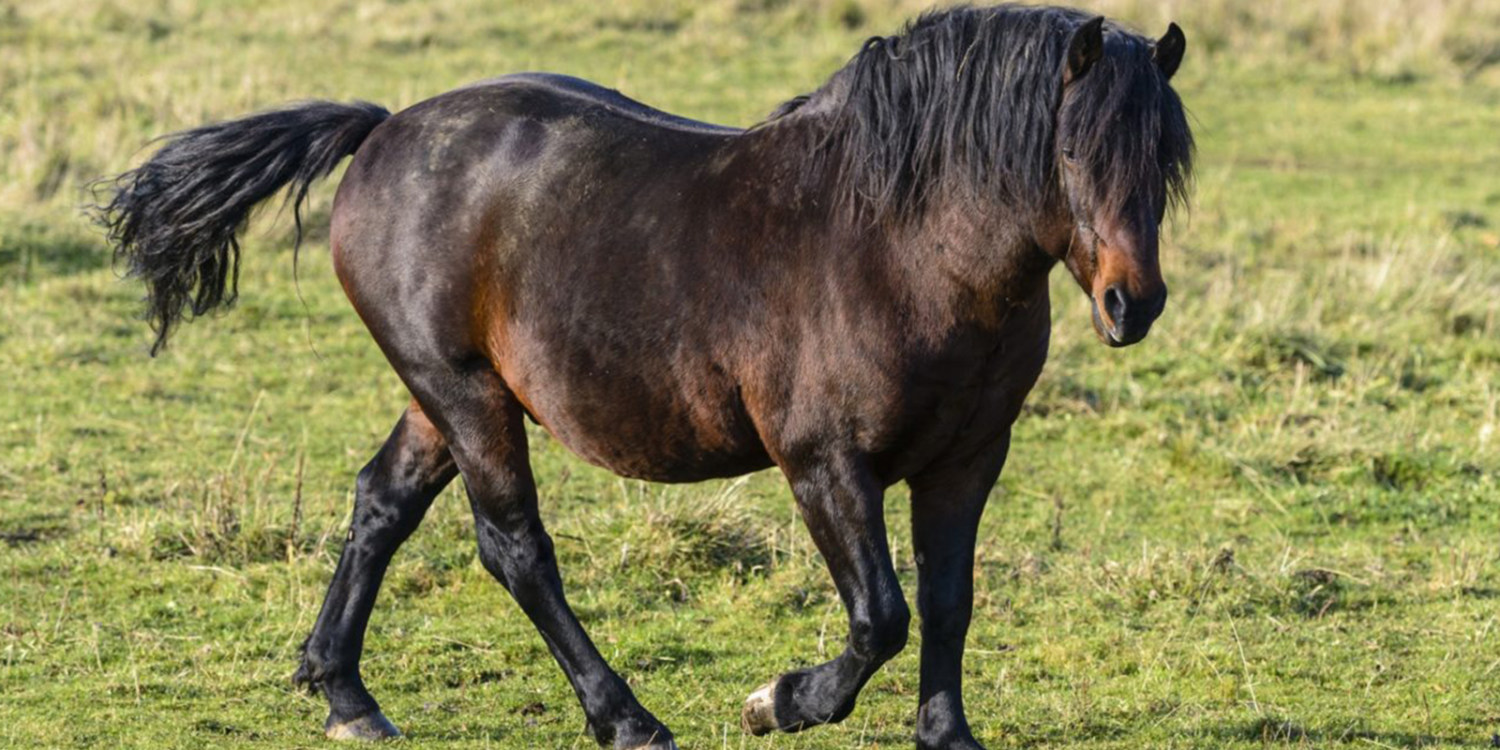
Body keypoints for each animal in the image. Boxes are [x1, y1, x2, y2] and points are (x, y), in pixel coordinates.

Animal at [93, 7, 1194, 750]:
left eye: (1167, 156)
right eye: (1074, 150)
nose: (1132, 305)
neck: (897, 247)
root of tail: (384, 129)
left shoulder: (967, 461)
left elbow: (948, 600)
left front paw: (944, 732)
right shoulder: (824, 465)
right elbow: (880, 614)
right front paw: (779, 701)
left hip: (444, 397)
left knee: (381, 504)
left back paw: (346, 695)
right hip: (467, 394)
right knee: (515, 549)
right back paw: (623, 715)